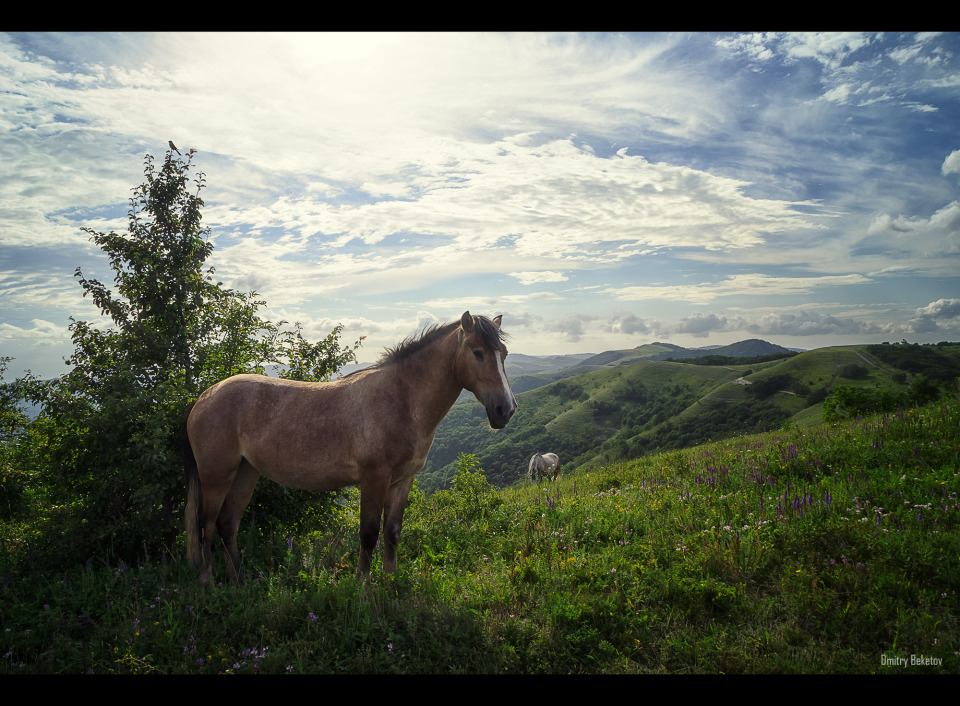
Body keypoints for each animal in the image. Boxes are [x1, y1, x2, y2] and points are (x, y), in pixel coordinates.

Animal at [187, 310, 516, 584]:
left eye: (504, 354)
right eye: (477, 352)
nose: (506, 409)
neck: (401, 399)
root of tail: (204, 397)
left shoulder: (402, 480)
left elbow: (392, 534)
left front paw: (391, 585)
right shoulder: (374, 478)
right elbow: (368, 535)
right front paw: (362, 590)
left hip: (246, 472)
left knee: (227, 524)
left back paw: (239, 583)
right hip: (217, 476)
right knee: (206, 525)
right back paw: (207, 584)